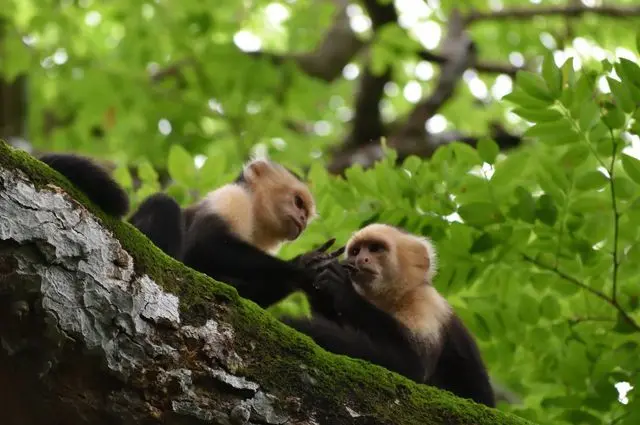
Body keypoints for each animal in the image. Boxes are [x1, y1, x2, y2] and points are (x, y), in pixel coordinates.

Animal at [37, 152, 337, 308]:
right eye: (298, 202)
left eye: (306, 212)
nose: (302, 219)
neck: (255, 217)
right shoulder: (233, 199)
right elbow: (205, 246)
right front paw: (299, 266)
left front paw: (308, 275)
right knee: (164, 205)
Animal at [282, 224, 495, 407]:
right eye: (356, 251)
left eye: (375, 249)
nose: (360, 260)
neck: (390, 298)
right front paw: (310, 266)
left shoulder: (424, 302)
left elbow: (414, 365)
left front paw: (341, 289)